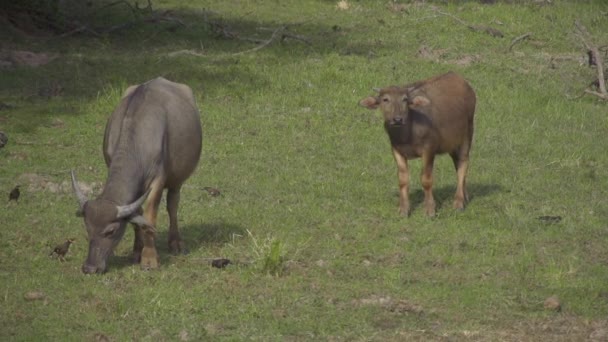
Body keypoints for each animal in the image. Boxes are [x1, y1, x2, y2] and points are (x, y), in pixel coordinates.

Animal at [71, 77, 203, 272]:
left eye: (111, 231)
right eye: (88, 228)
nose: (90, 267)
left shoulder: (157, 180)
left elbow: (149, 216)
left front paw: (149, 258)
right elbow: (137, 216)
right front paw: (136, 252)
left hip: (177, 179)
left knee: (173, 204)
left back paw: (176, 243)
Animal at [360, 72, 476, 216]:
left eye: (405, 99)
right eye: (385, 99)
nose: (397, 119)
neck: (407, 135)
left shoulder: (429, 150)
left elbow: (426, 179)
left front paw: (430, 209)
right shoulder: (397, 150)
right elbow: (403, 180)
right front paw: (404, 209)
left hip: (467, 134)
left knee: (463, 165)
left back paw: (458, 203)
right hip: (452, 144)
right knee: (458, 164)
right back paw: (465, 196)